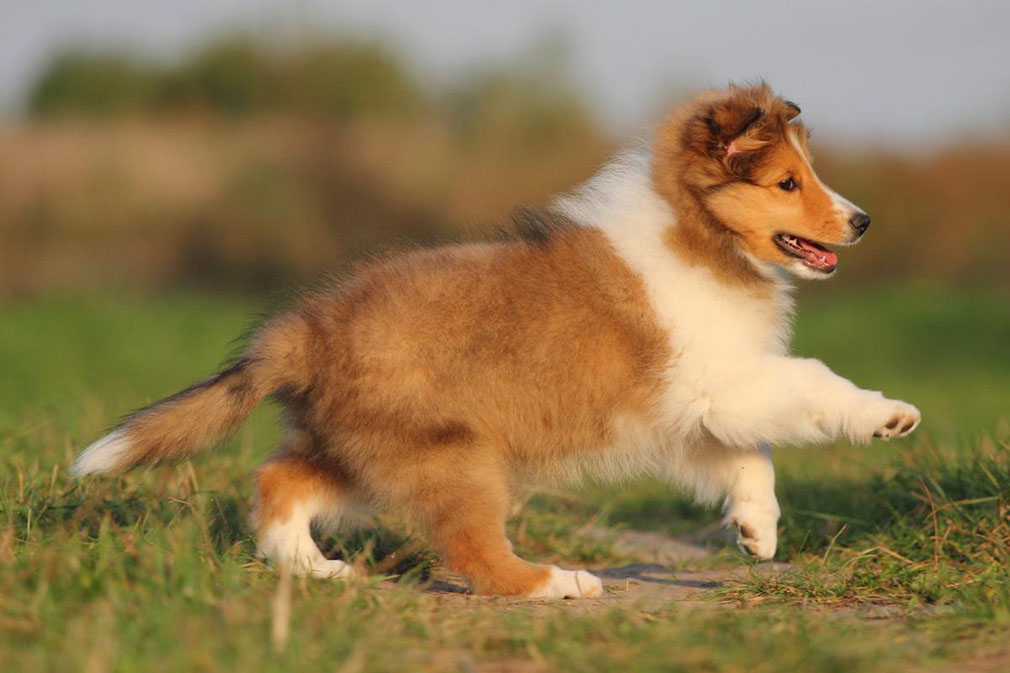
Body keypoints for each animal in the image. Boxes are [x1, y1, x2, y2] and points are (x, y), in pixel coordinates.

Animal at [74, 83, 921, 598]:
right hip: (454, 455)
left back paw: (316, 570)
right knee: (476, 556)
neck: (697, 231)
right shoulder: (719, 379)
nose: (863, 221)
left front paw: (757, 531)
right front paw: (888, 414)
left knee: (279, 477)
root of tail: (304, 328)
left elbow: (752, 455)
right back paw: (559, 582)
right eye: (786, 183)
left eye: (806, 172)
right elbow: (811, 382)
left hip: (370, 449)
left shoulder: (693, 405)